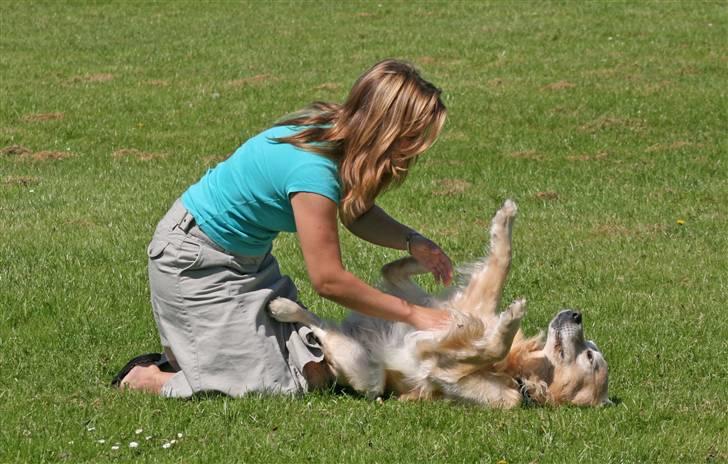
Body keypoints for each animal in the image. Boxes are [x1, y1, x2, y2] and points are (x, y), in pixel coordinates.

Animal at [268, 199, 608, 406]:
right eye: (591, 349)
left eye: (590, 357)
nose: (576, 314)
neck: (519, 372)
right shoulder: (477, 302)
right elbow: (501, 261)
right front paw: (505, 219)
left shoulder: (445, 372)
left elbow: (489, 347)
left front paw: (509, 319)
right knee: (390, 274)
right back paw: (424, 257)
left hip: (367, 374)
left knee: (324, 328)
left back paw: (282, 307)